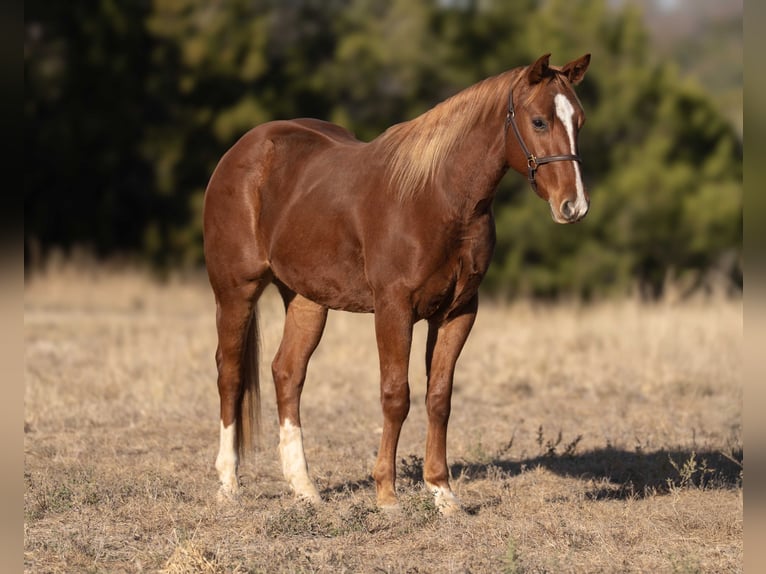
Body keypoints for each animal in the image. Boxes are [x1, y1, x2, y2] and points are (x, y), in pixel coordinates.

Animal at [203, 53, 591, 514]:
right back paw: (229, 484)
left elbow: (438, 397)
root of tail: (241, 151)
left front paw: (442, 492)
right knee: (230, 375)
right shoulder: (393, 308)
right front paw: (387, 494)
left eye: (579, 121)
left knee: (287, 374)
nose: (574, 206)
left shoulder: (459, 311)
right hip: (235, 292)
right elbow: (395, 394)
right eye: (538, 121)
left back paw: (305, 488)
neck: (438, 197)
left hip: (306, 300)